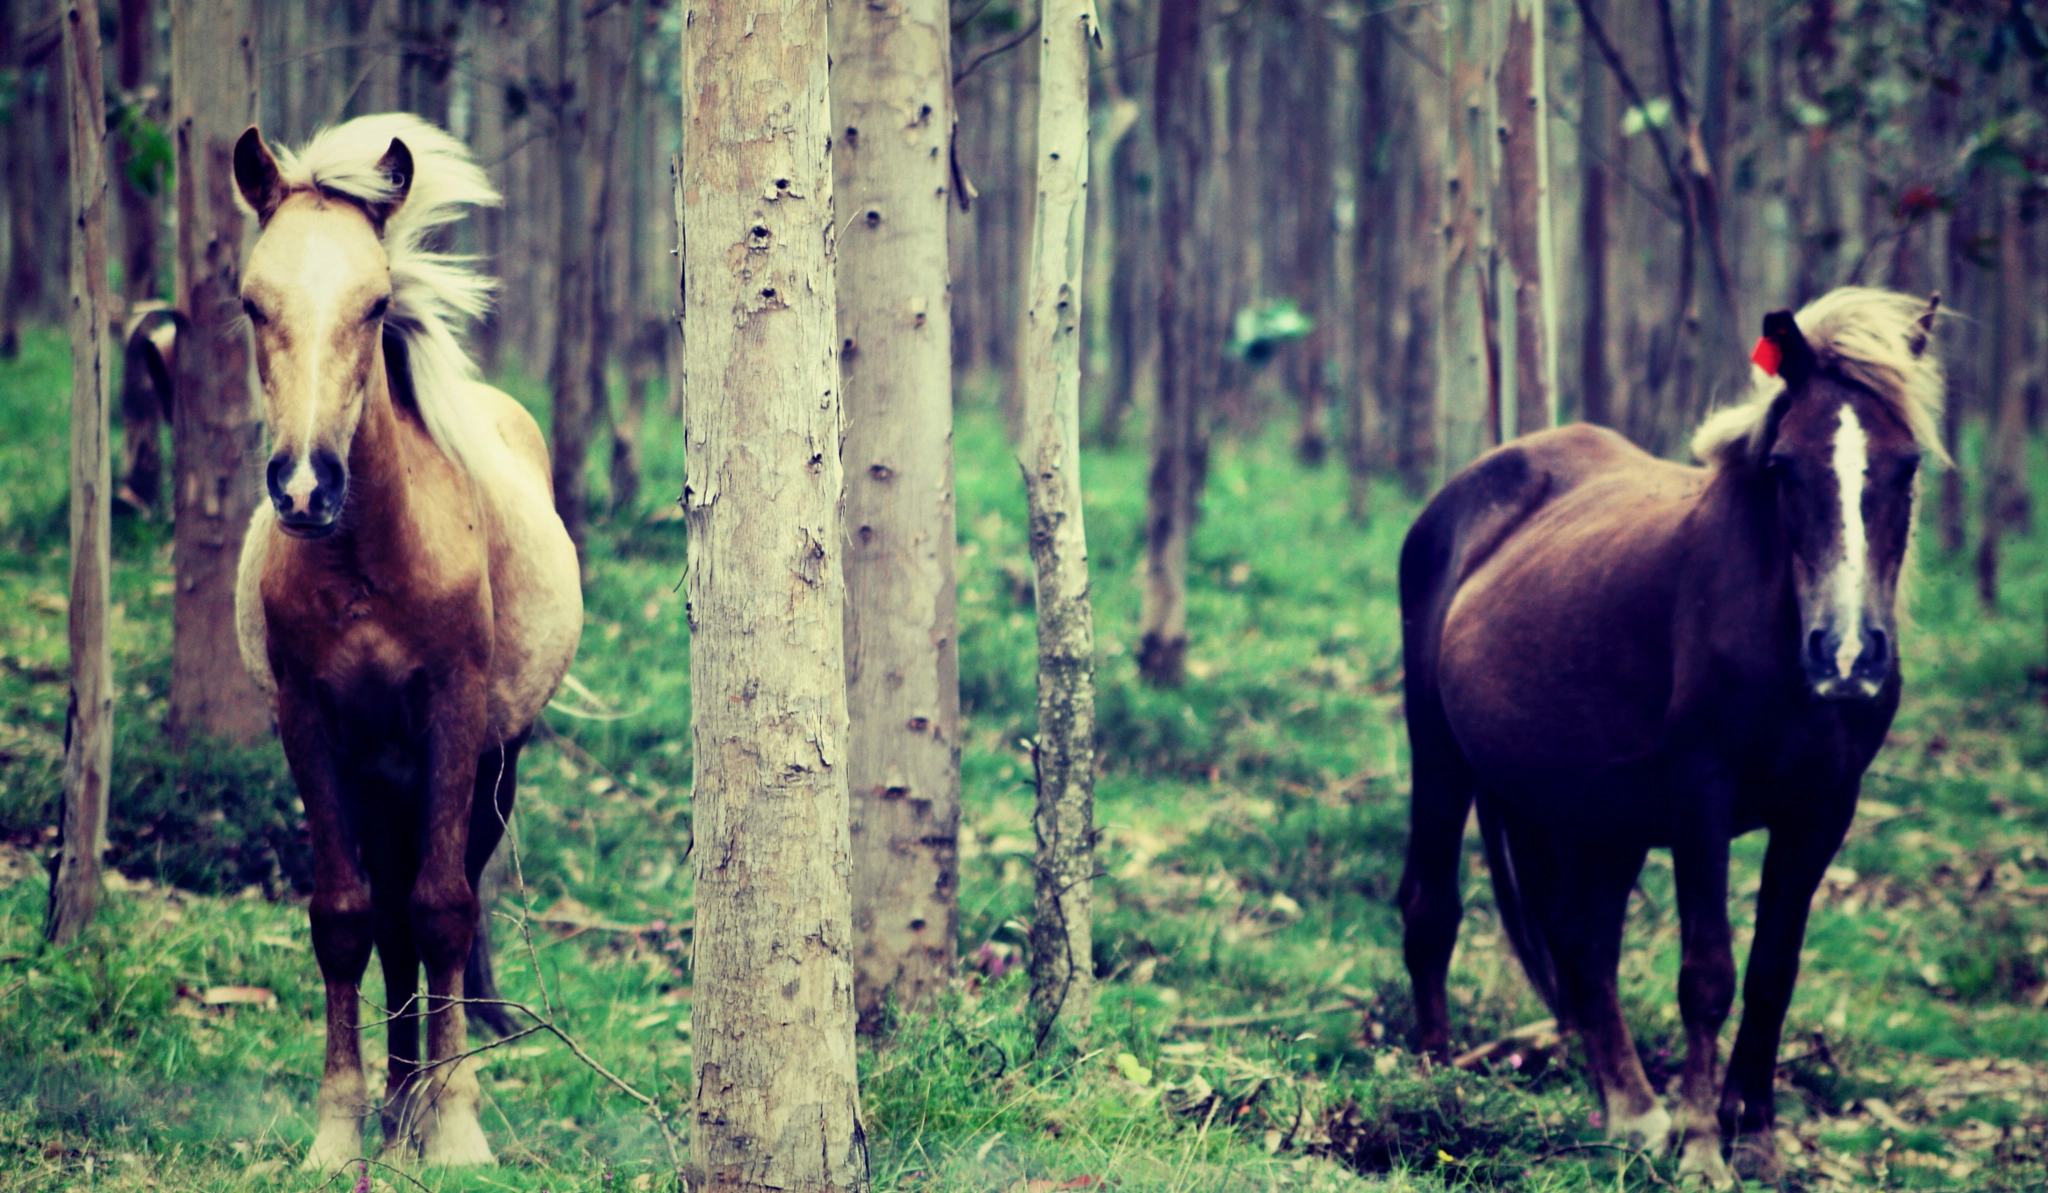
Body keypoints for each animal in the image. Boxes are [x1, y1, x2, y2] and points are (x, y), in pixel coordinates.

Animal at [229, 114, 581, 1169]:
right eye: (253, 302)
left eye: (376, 302)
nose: (306, 486)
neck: (368, 561)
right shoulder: (308, 722)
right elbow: (346, 920)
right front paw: (342, 1130)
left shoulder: (455, 716)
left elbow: (444, 910)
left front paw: (458, 1128)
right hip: (383, 776)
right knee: (386, 921)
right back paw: (396, 1105)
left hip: (491, 766)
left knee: (434, 904)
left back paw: (424, 1103)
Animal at [1396, 287, 1943, 1186]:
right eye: (1783, 467)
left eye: (1908, 466)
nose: (1847, 655)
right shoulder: (1700, 794)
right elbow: (1708, 973)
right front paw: (1702, 1147)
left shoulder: (1824, 806)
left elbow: (1772, 969)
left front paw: (1753, 1136)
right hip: (1439, 754)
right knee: (1431, 909)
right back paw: (1437, 1086)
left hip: (1599, 812)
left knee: (1583, 941)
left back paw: (1629, 1109)